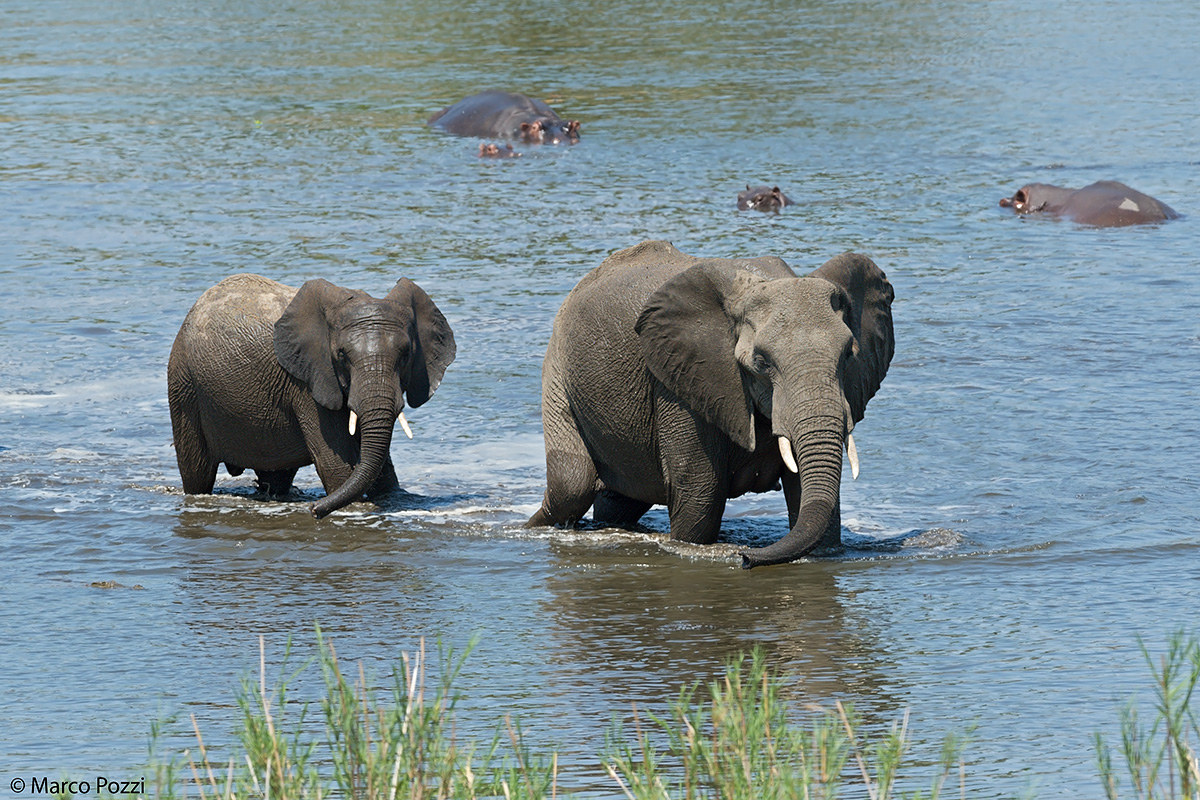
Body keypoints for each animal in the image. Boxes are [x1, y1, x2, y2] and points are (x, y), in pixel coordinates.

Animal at [167, 274, 456, 518]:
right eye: (341, 355)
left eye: (406, 354)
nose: (314, 510)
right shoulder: (307, 383)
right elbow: (336, 466)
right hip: (183, 385)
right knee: (197, 473)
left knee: (276, 476)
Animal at [526, 240, 895, 568]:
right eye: (761, 362)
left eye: (848, 355)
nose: (744, 558)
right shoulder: (680, 381)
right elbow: (699, 495)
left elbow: (807, 493)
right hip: (557, 366)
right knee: (572, 485)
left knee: (618, 502)